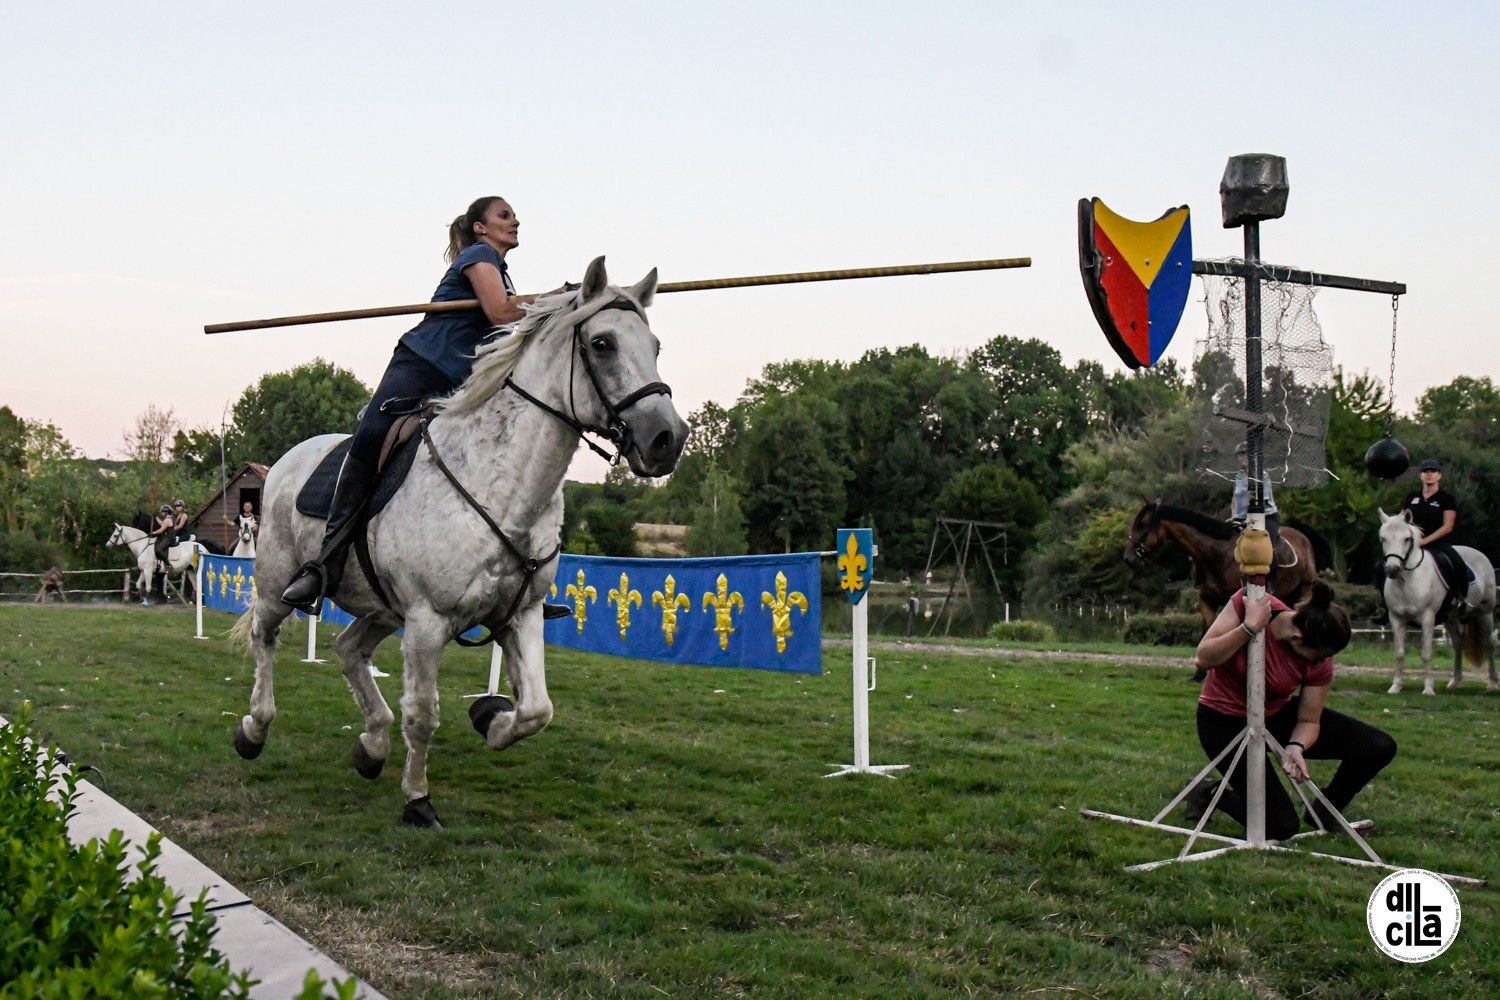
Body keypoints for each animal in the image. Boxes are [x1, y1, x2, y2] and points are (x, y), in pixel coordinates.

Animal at [229, 257, 690, 827]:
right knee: (265, 639)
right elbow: (423, 715)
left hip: (383, 608)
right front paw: (418, 799)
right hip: (278, 585)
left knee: (349, 648)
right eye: (602, 343)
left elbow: (536, 710)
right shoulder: (428, 623)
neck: (502, 487)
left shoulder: (522, 614)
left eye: (655, 346)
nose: (667, 439)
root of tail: (288, 460)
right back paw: (254, 728)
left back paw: (372, 745)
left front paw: (490, 716)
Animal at [1122, 500, 1320, 632]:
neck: (1216, 555)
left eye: (1141, 524)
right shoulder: (1207, 601)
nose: (1128, 558)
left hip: (1304, 589)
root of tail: (1304, 538)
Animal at [1374, 509, 1494, 695]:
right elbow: (1399, 653)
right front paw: (1396, 686)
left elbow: (1426, 653)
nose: (1392, 569)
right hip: (1450, 617)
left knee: (1490, 643)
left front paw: (1428, 689)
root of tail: (1480, 554)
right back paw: (1454, 682)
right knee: (1458, 643)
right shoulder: (1396, 619)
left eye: (1406, 539)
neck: (1409, 580)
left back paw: (1492, 684)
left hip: (1486, 612)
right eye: (1382, 538)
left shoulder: (1427, 618)